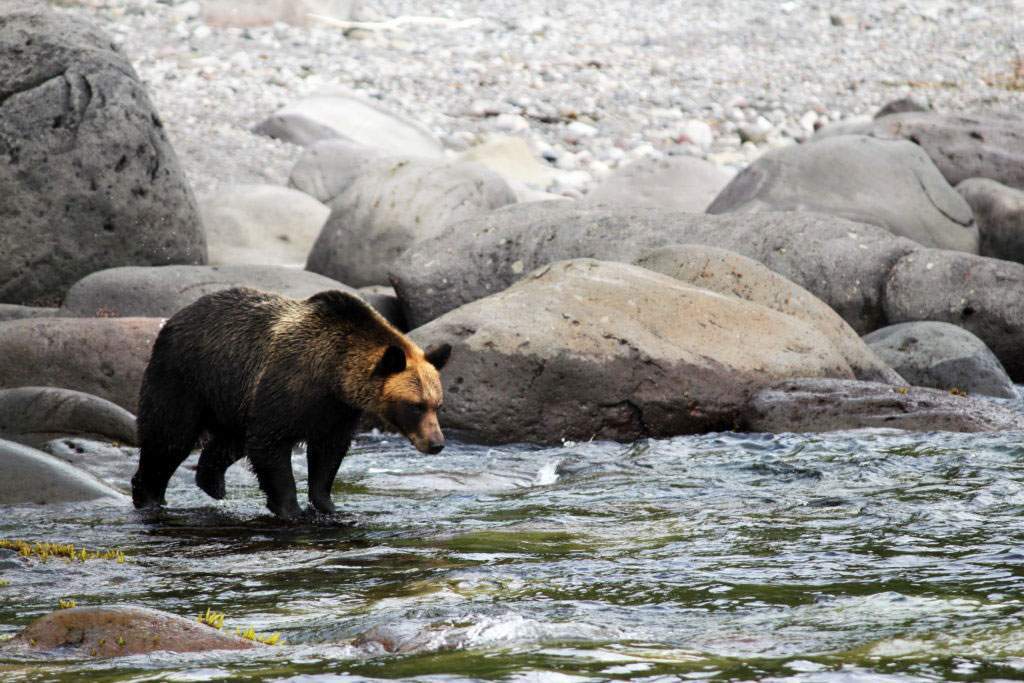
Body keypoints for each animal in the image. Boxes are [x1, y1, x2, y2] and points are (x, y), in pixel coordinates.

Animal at [130, 286, 450, 518]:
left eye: (437, 404)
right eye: (415, 405)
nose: (436, 443)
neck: (334, 374)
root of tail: (174, 318)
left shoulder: (338, 412)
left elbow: (328, 455)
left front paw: (328, 505)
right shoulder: (287, 387)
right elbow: (270, 445)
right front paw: (290, 508)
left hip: (233, 397)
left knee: (229, 441)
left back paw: (213, 484)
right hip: (185, 378)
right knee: (169, 437)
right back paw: (150, 498)